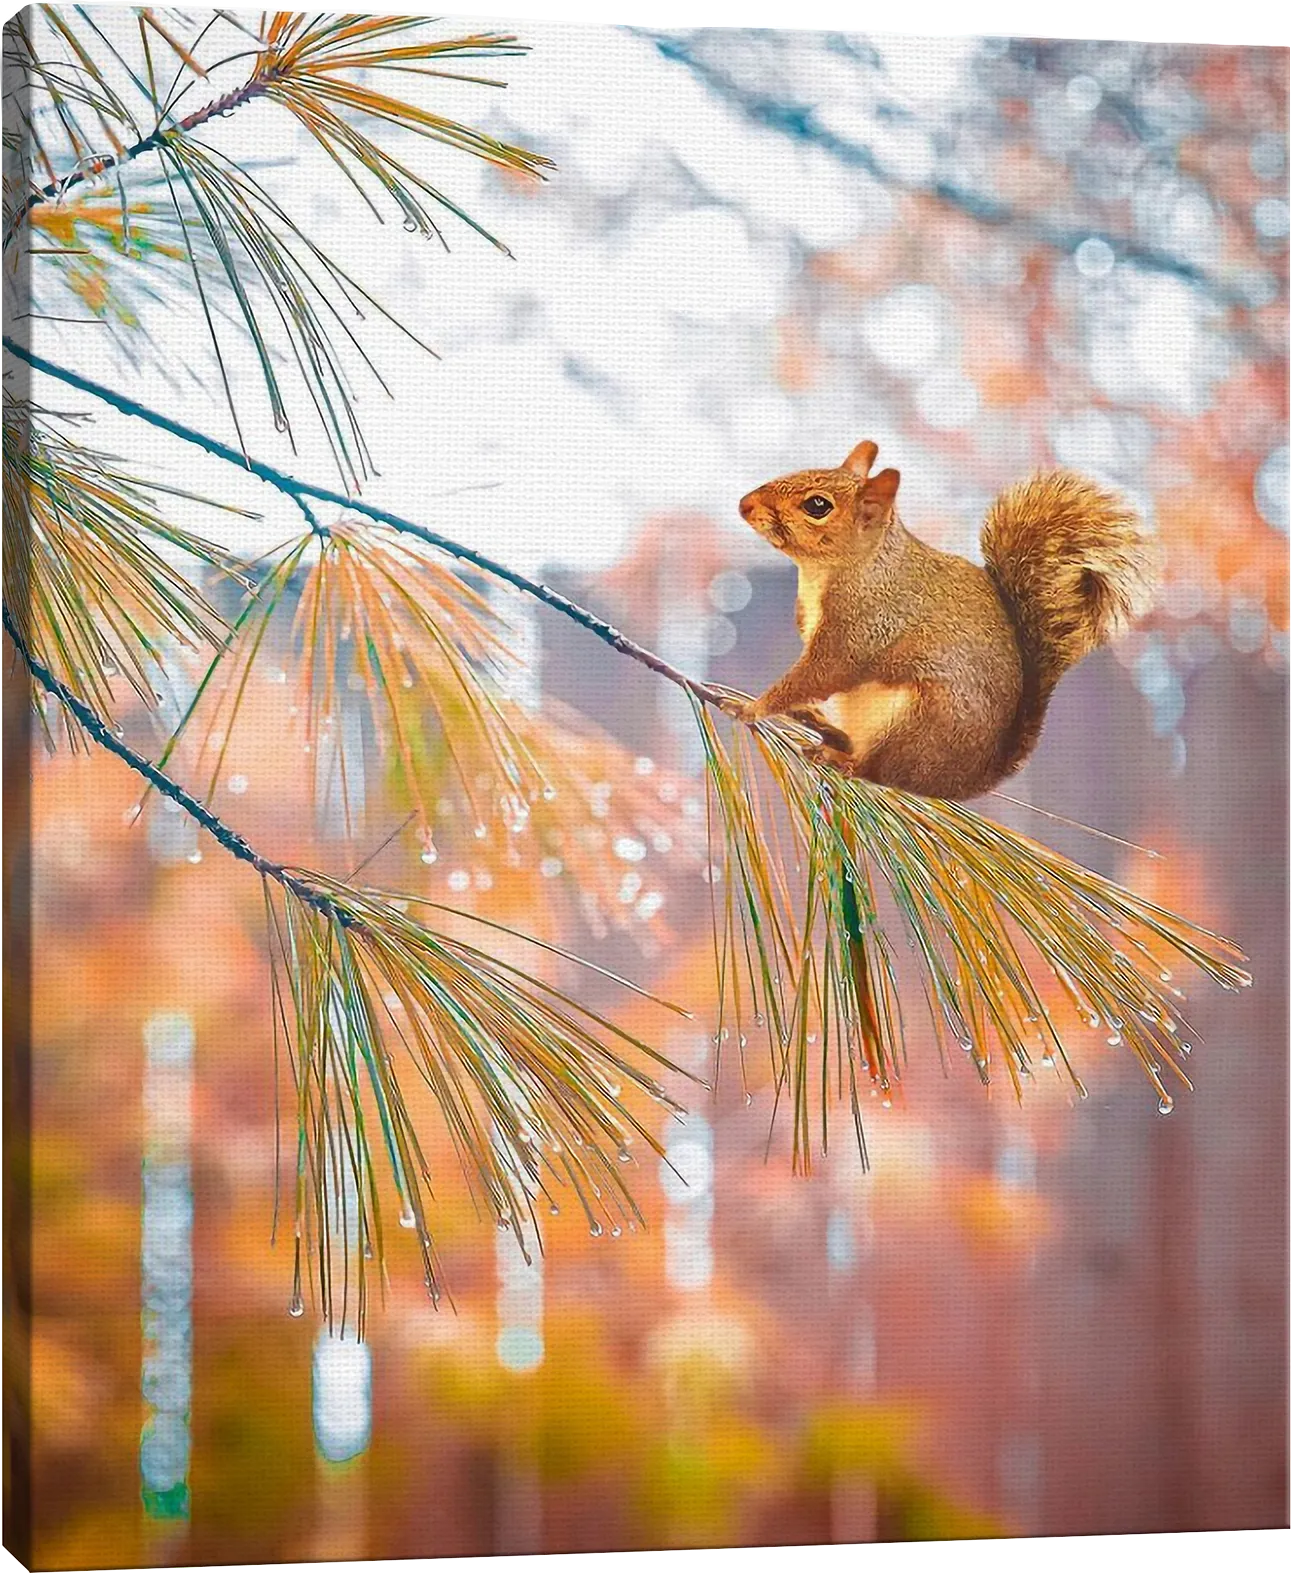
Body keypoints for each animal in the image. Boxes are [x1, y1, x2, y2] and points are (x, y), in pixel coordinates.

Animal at [736, 439, 1158, 800]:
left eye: (817, 506)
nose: (745, 504)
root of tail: (967, 780)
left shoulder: (864, 625)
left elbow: (822, 673)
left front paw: (753, 708)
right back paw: (822, 727)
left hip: (920, 723)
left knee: (883, 770)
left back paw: (842, 758)